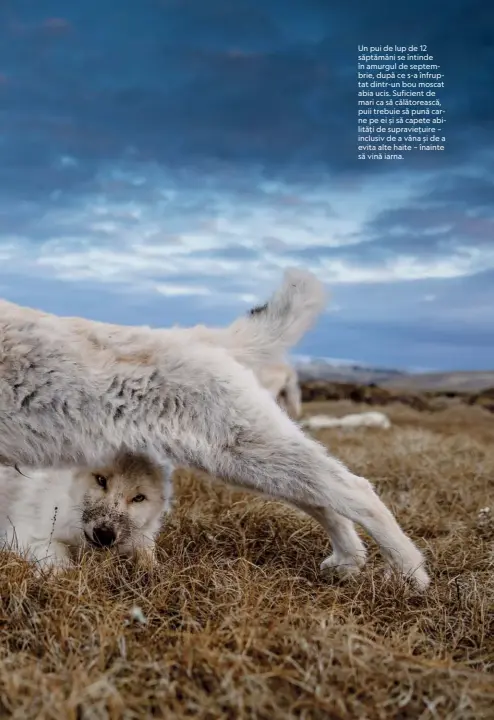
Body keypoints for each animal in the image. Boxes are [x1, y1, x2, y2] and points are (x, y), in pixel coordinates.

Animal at [0, 452, 174, 572]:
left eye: (139, 498)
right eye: (101, 480)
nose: (104, 536)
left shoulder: (141, 539)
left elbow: (148, 554)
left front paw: (153, 571)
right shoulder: (23, 534)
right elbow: (55, 551)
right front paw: (60, 575)